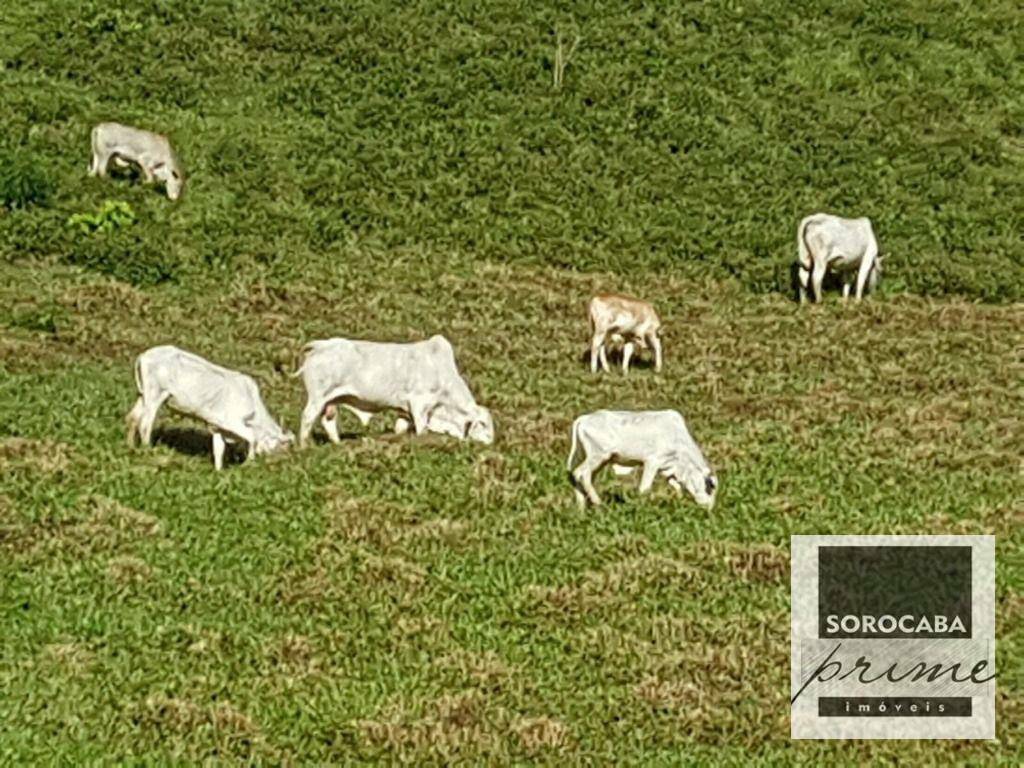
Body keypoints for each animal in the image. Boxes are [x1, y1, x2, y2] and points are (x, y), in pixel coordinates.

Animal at [124, 348, 292, 468]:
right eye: (282, 446)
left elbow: (218, 450)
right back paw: (148, 450)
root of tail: (144, 355)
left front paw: (218, 470)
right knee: (145, 423)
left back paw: (131, 447)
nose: (276, 462)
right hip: (156, 394)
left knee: (132, 417)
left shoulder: (217, 427)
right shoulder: (232, 421)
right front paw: (249, 461)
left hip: (143, 395)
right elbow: (251, 437)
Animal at [294, 333, 493, 448]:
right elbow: (422, 430)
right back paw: (305, 447)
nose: (491, 442)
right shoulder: (419, 405)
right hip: (318, 397)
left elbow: (400, 429)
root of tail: (321, 345)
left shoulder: (404, 411)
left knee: (328, 421)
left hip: (330, 401)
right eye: (484, 424)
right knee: (307, 418)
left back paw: (338, 444)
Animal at [565, 409, 716, 512]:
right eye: (709, 487)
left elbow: (677, 487)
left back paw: (582, 507)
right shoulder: (652, 462)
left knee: (582, 476)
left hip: (598, 461)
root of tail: (584, 418)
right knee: (581, 473)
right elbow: (644, 488)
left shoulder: (666, 468)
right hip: (598, 456)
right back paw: (597, 503)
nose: (709, 508)